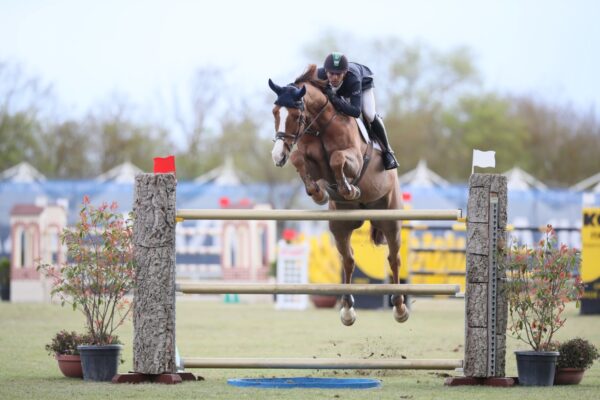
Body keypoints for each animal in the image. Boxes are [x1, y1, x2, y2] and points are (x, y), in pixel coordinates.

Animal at [270, 63, 408, 324]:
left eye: (295, 116)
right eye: (275, 113)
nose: (277, 155)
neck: (321, 125)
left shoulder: (354, 159)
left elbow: (337, 159)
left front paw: (348, 188)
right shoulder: (311, 162)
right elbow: (299, 159)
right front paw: (318, 193)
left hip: (390, 219)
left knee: (393, 258)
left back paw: (399, 308)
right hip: (339, 226)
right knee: (348, 260)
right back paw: (347, 309)